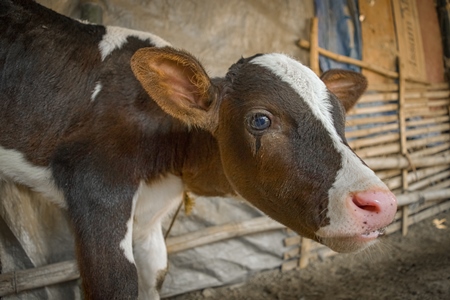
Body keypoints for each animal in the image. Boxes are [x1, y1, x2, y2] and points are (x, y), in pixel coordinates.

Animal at [0, 0, 396, 300]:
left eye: (341, 118)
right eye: (260, 120)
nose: (380, 203)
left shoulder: (148, 217)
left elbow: (155, 274)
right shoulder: (96, 188)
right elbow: (115, 286)